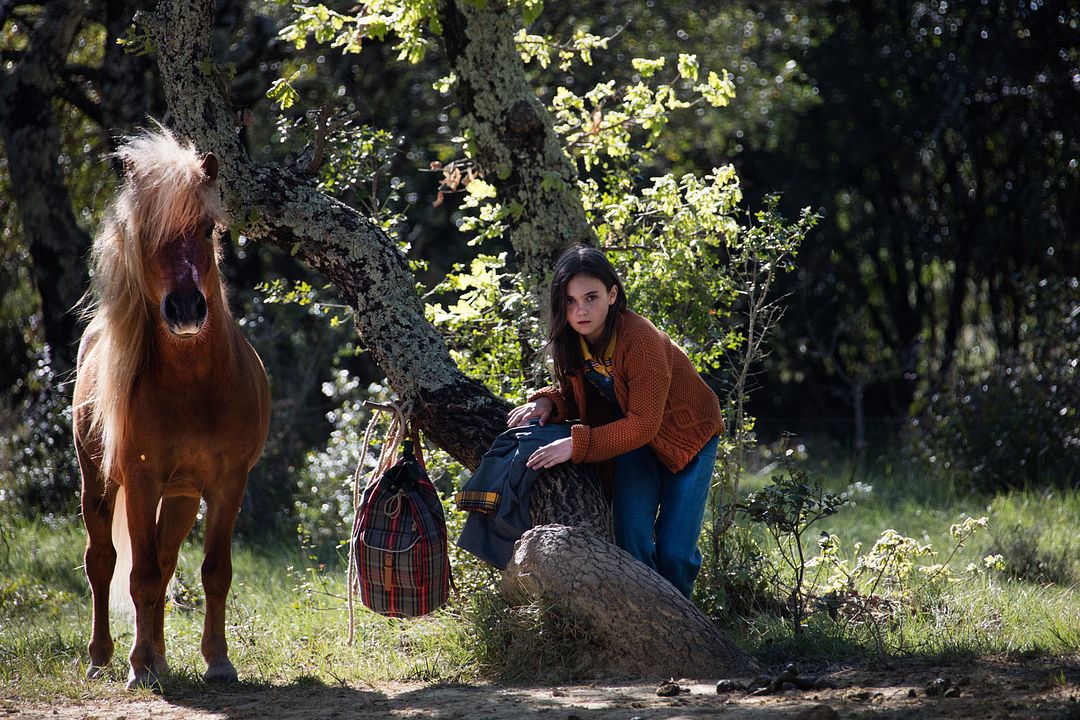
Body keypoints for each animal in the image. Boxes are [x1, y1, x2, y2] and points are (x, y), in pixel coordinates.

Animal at [72, 126, 271, 690]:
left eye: (206, 228)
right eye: (147, 232)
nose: (185, 309)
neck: (195, 387)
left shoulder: (227, 484)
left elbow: (213, 572)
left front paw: (217, 661)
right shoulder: (141, 482)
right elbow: (138, 575)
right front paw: (138, 667)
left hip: (181, 497)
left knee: (164, 559)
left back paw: (158, 657)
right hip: (98, 484)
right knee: (104, 561)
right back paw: (105, 657)